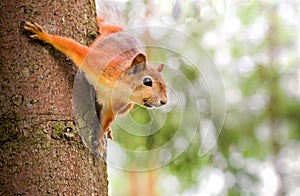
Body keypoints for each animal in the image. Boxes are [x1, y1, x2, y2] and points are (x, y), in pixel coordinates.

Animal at [23, 17, 168, 144]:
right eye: (147, 82)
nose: (164, 102)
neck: (119, 89)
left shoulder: (116, 104)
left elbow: (107, 119)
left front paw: (100, 136)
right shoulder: (97, 62)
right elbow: (73, 47)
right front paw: (44, 35)